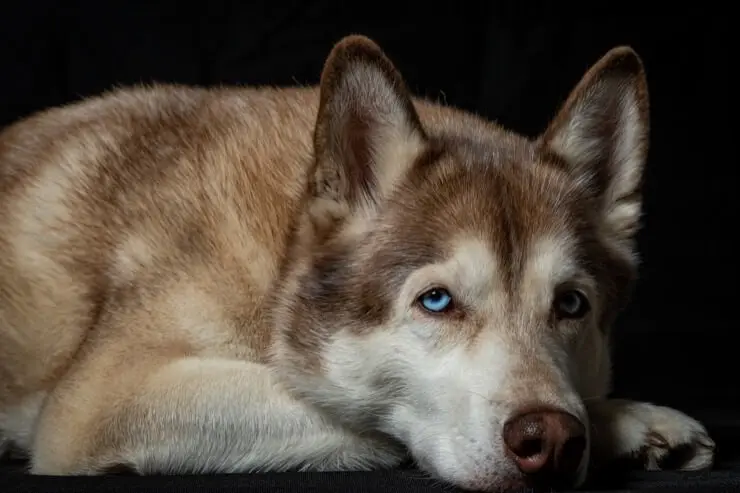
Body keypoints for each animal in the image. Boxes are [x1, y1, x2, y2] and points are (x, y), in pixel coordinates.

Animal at [1, 36, 716, 490]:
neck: (278, 264)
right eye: (436, 301)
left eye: (570, 304)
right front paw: (622, 421)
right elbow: (363, 420)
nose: (555, 439)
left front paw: (623, 419)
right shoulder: (100, 404)